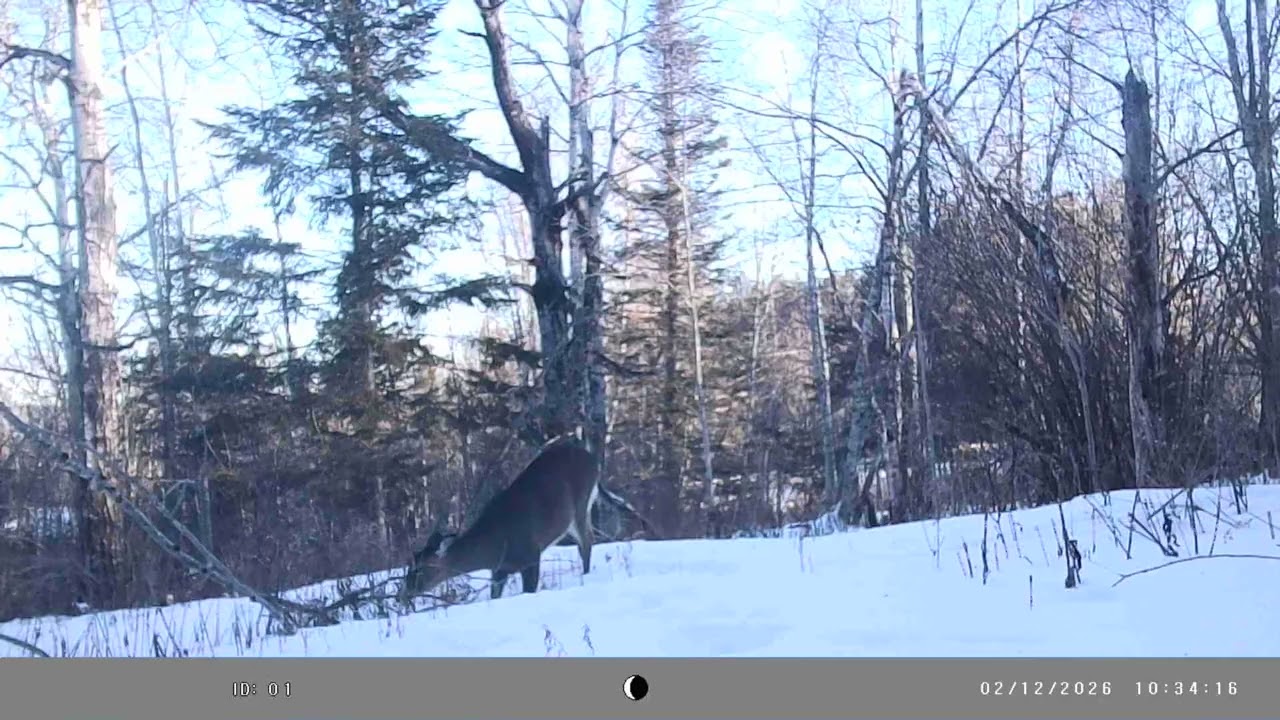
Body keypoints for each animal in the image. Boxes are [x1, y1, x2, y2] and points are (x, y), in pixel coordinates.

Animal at [398, 436, 654, 603]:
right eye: (409, 565)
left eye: (421, 568)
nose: (403, 595)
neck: (494, 545)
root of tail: (593, 460)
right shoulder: (499, 570)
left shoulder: (531, 555)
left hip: (580, 505)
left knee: (588, 540)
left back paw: (585, 575)